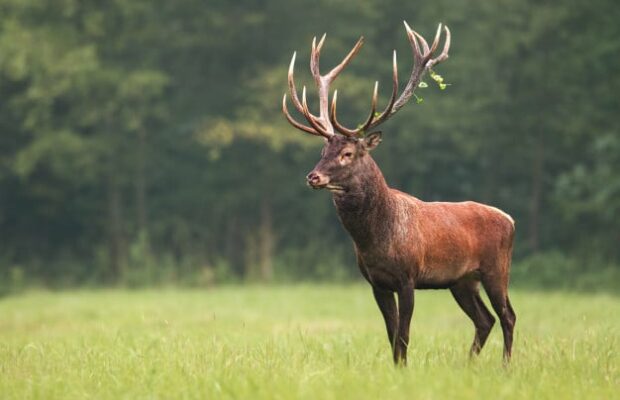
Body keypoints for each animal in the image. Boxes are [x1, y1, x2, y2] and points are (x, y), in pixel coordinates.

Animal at [284, 21, 516, 366]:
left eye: (348, 153)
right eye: (323, 150)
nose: (313, 176)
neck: (376, 240)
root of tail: (511, 220)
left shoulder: (408, 277)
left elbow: (404, 335)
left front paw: (404, 369)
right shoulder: (377, 283)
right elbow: (392, 334)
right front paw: (396, 369)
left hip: (496, 268)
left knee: (508, 316)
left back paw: (505, 367)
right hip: (462, 281)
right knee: (485, 319)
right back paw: (469, 364)